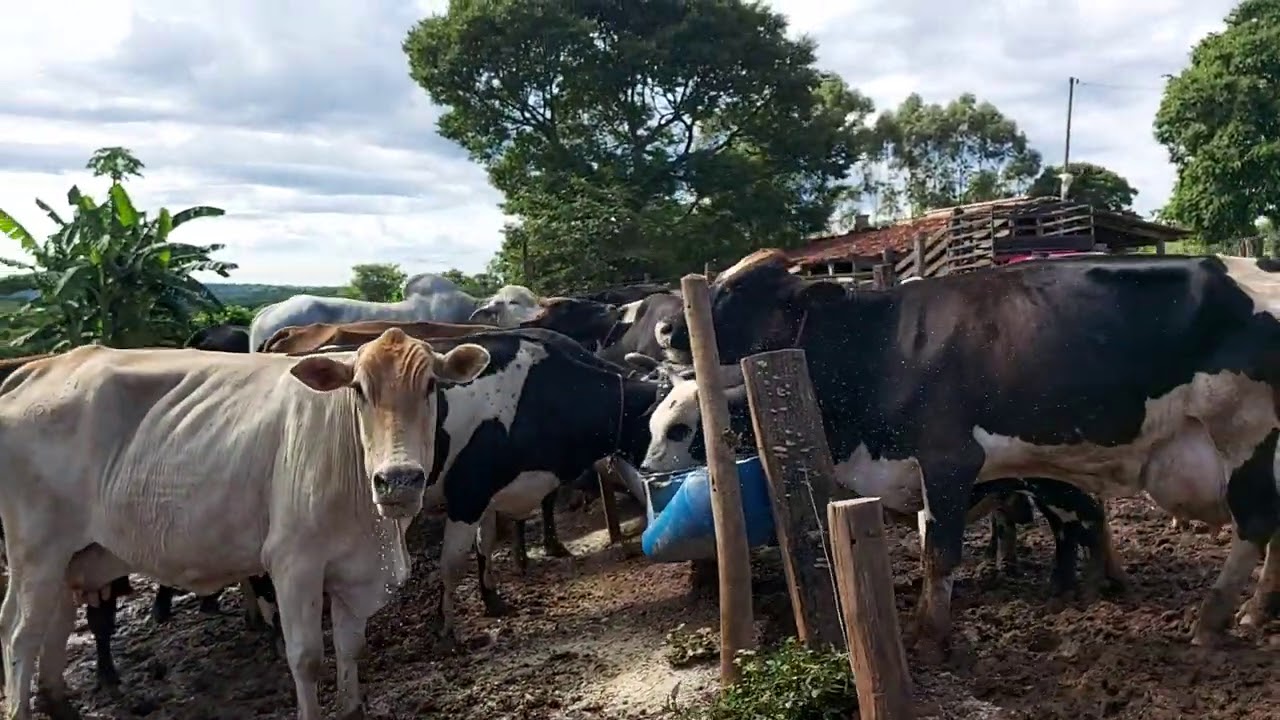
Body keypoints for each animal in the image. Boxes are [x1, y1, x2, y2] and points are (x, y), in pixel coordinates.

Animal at [0, 329, 491, 719]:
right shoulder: (294, 564)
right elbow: (307, 658)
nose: (398, 480)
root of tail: (41, 368)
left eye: (431, 386)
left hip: (72, 557)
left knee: (48, 624)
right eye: (358, 389)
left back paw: (59, 702)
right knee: (21, 636)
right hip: (37, 553)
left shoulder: (355, 569)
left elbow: (351, 648)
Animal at [628, 355, 1126, 596]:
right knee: (1071, 527)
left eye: (681, 429)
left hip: (1054, 484)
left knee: (1083, 521)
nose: (647, 470)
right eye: (652, 423)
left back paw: (1094, 586)